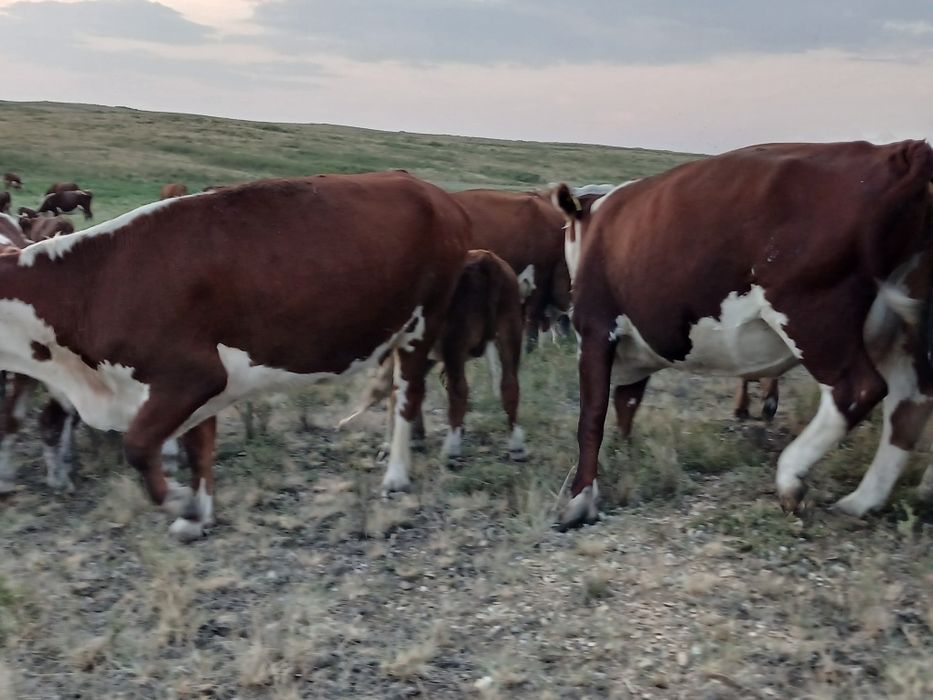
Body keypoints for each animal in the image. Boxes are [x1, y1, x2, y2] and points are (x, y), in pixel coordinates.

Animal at [0, 171, 469, 540]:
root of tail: (433, 192)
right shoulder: (192, 386)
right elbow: (198, 447)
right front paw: (197, 516)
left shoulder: (192, 376)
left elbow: (137, 447)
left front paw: (182, 504)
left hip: (422, 323)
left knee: (408, 396)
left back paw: (397, 475)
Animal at [341, 249, 526, 461]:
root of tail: (485, 258)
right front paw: (415, 436)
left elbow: (393, 391)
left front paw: (389, 443)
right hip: (510, 331)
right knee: (510, 385)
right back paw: (516, 446)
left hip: (456, 341)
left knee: (459, 389)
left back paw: (451, 449)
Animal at [551, 139, 933, 530]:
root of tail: (895, 153)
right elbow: (626, 406)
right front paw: (626, 457)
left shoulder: (596, 328)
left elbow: (591, 416)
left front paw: (579, 501)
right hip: (905, 329)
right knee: (911, 402)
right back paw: (866, 500)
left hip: (812, 314)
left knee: (857, 389)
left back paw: (791, 476)